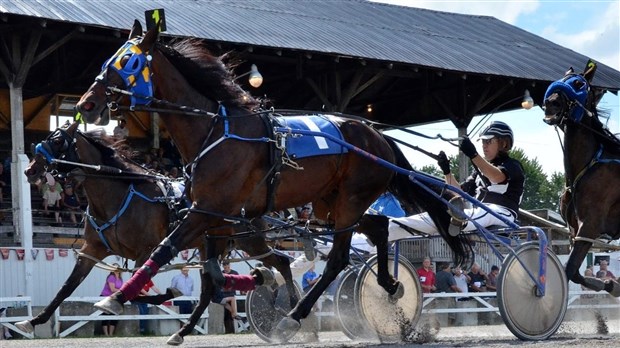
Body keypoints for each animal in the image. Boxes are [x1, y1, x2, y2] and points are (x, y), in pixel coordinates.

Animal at [17, 123, 294, 342]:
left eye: (57, 140)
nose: (30, 169)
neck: (118, 193)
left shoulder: (146, 250)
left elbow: (137, 291)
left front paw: (167, 294)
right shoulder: (92, 250)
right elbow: (66, 288)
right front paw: (33, 321)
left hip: (250, 241)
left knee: (281, 261)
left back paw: (286, 306)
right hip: (210, 245)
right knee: (209, 289)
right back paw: (183, 331)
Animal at [75, 19, 468, 340]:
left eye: (129, 62)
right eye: (109, 61)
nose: (86, 104)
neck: (215, 130)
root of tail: (377, 136)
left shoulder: (207, 209)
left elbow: (166, 248)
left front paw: (116, 297)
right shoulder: (215, 216)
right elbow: (210, 270)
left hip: (351, 198)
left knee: (339, 258)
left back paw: (294, 316)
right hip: (331, 204)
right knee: (379, 226)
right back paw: (388, 283)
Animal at [544, 60, 620, 296]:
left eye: (578, 84)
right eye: (559, 79)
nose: (550, 103)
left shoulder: (590, 225)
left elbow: (568, 270)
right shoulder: (574, 230)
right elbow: (574, 272)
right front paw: (610, 285)